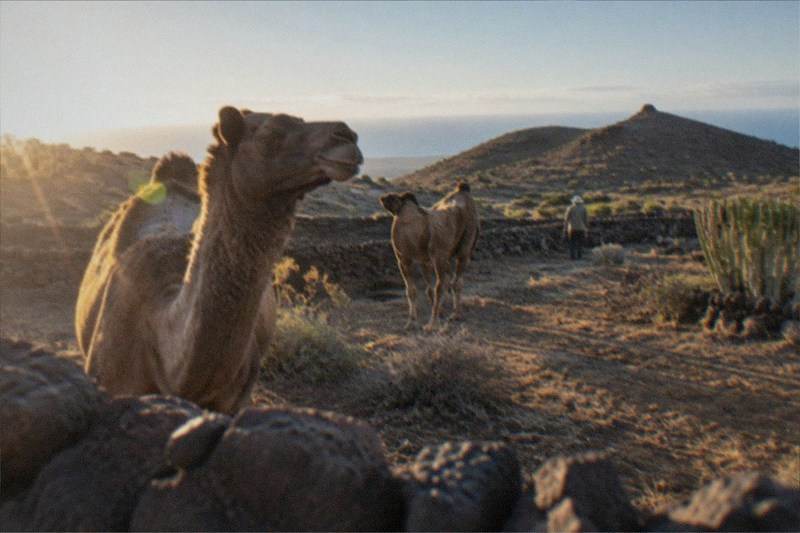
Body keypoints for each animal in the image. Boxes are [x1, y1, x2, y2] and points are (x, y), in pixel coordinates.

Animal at [380, 182, 480, 330]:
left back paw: (456, 315)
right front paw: (411, 322)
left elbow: (438, 288)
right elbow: (415, 290)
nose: (384, 198)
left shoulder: (437, 257)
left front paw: (432, 324)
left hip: (465, 245)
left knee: (456, 281)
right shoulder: (406, 259)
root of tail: (464, 190)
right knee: (450, 280)